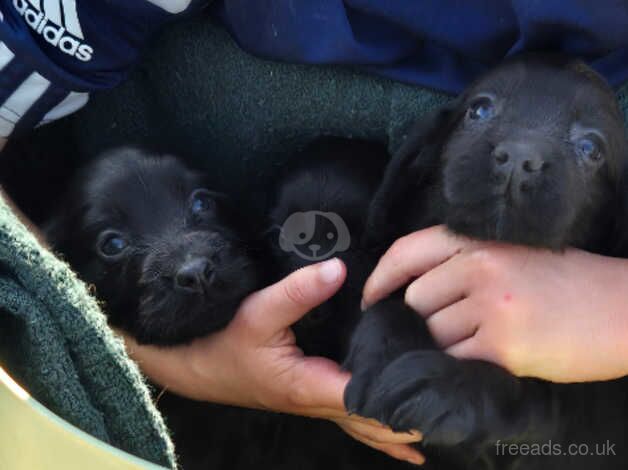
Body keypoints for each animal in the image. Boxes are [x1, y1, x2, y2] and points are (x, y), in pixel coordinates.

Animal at [340, 56, 628, 470]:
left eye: (591, 147)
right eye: (479, 110)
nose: (520, 157)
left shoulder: (563, 415)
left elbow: (521, 396)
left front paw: (444, 385)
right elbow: (392, 302)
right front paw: (389, 349)